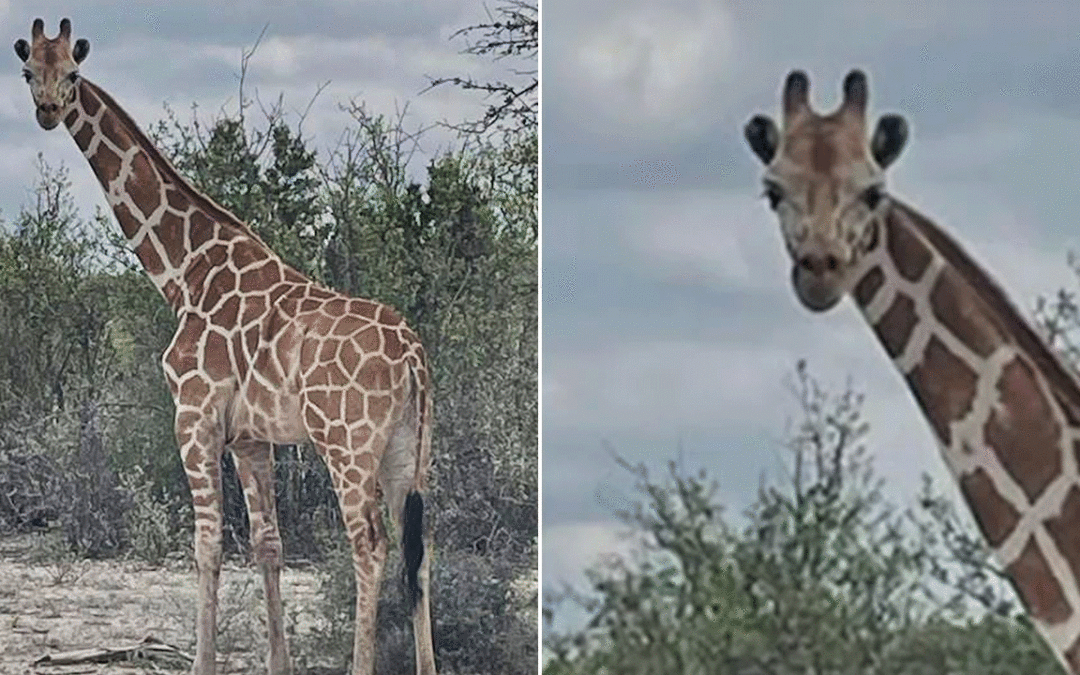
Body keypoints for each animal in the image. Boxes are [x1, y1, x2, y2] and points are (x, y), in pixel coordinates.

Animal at [15, 18, 438, 675]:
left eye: (74, 74)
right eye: (28, 69)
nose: (48, 110)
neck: (184, 272)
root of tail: (414, 358)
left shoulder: (194, 414)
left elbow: (208, 543)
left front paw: (202, 661)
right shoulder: (251, 437)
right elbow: (268, 544)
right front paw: (277, 663)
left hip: (347, 443)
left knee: (370, 544)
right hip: (407, 450)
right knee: (421, 550)